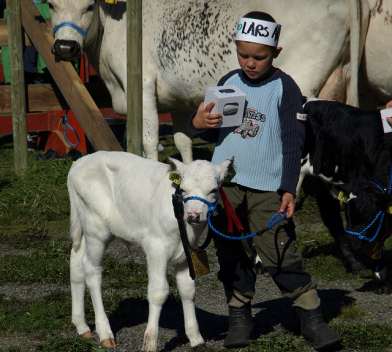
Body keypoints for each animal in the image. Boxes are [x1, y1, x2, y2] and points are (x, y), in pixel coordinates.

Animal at [49, 0, 368, 162]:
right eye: (51, 4)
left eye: (89, 6)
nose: (65, 47)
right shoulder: (177, 99)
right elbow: (183, 141)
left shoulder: (142, 87)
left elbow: (149, 142)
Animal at [67, 152, 231, 352]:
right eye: (183, 189)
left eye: (213, 190)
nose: (193, 215)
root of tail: (79, 162)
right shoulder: (156, 247)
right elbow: (158, 292)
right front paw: (150, 342)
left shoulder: (186, 253)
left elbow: (188, 290)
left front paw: (195, 338)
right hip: (96, 228)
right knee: (91, 271)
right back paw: (105, 333)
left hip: (84, 225)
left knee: (76, 261)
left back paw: (81, 326)